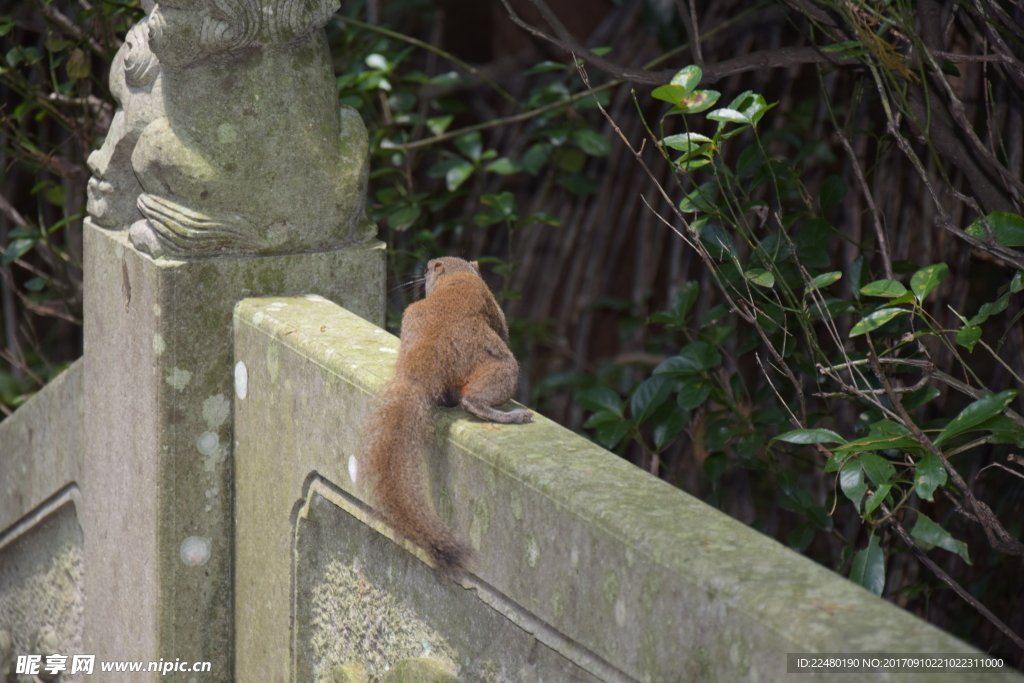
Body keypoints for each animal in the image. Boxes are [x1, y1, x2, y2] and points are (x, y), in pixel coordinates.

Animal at [364, 259, 532, 573]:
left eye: (428, 269)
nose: (425, 270)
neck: (457, 273)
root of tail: (432, 346)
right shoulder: (495, 308)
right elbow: (502, 326)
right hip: (493, 360)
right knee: (475, 396)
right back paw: (499, 413)